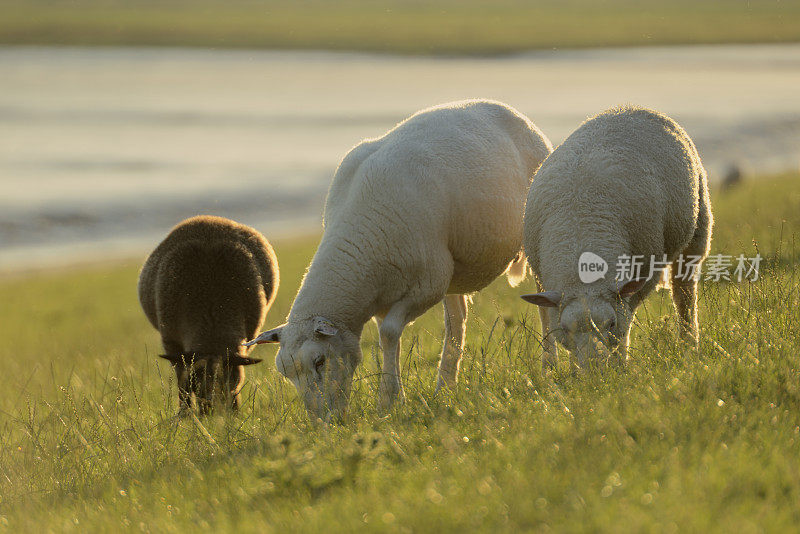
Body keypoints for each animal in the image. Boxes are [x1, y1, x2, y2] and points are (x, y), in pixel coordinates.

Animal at [136, 216, 276, 416]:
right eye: (197, 383)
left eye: (228, 384)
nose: (213, 413)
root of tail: (208, 219)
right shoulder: (172, 345)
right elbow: (183, 384)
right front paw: (185, 415)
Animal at [247, 98, 552, 420]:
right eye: (287, 374)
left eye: (319, 361)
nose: (322, 422)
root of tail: (504, 107)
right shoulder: (387, 293)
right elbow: (387, 337)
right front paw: (394, 395)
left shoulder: (428, 284)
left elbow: (390, 334)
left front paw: (389, 398)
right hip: (452, 266)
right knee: (457, 320)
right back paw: (445, 385)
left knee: (542, 300)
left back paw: (549, 365)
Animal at [520, 107, 716, 370]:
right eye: (566, 329)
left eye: (610, 324)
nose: (593, 369)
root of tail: (632, 108)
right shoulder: (542, 280)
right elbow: (546, 320)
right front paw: (559, 370)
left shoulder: (642, 274)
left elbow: (626, 320)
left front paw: (620, 363)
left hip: (698, 230)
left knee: (684, 295)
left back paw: (689, 345)